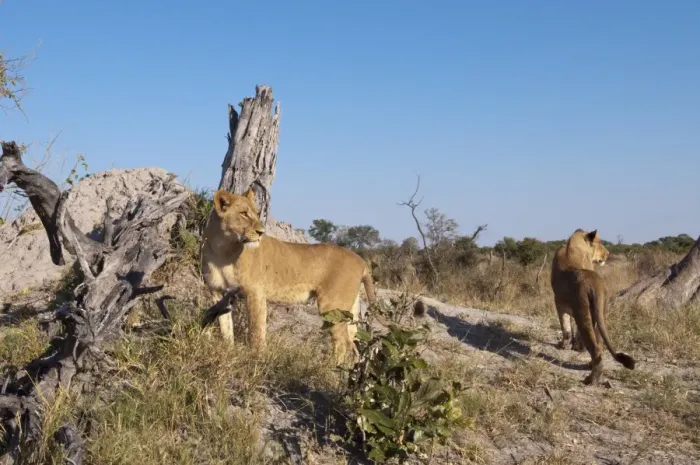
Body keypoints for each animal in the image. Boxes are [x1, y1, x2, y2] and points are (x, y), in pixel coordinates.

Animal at [200, 188, 377, 366]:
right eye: (243, 213)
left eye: (257, 214)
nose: (261, 232)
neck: (223, 249)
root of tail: (361, 260)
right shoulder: (218, 293)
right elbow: (225, 328)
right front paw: (228, 352)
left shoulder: (255, 292)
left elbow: (256, 330)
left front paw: (257, 358)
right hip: (351, 309)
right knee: (353, 342)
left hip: (332, 306)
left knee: (343, 343)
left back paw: (329, 368)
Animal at [550, 229, 635, 385]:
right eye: (600, 243)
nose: (607, 253)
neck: (573, 243)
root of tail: (593, 284)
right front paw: (577, 347)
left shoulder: (558, 303)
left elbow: (566, 327)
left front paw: (564, 345)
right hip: (599, 311)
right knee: (599, 344)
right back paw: (590, 366)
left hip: (582, 312)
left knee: (595, 349)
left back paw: (591, 379)